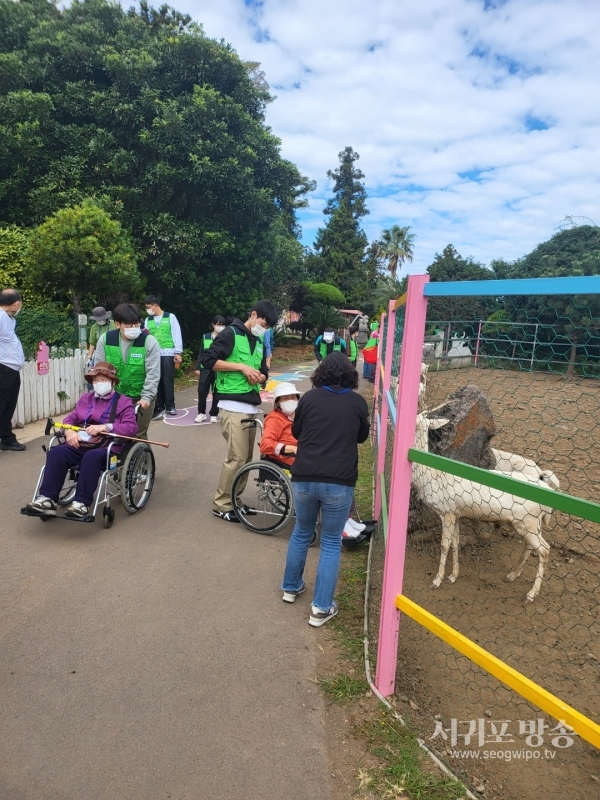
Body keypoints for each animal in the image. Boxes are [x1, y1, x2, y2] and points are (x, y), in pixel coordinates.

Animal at [412, 416, 552, 604]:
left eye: (417, 420)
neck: (430, 477)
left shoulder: (446, 512)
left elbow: (444, 545)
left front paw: (437, 580)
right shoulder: (456, 513)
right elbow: (455, 542)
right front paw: (453, 576)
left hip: (527, 522)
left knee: (545, 549)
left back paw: (530, 595)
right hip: (531, 523)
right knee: (532, 545)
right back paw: (512, 574)